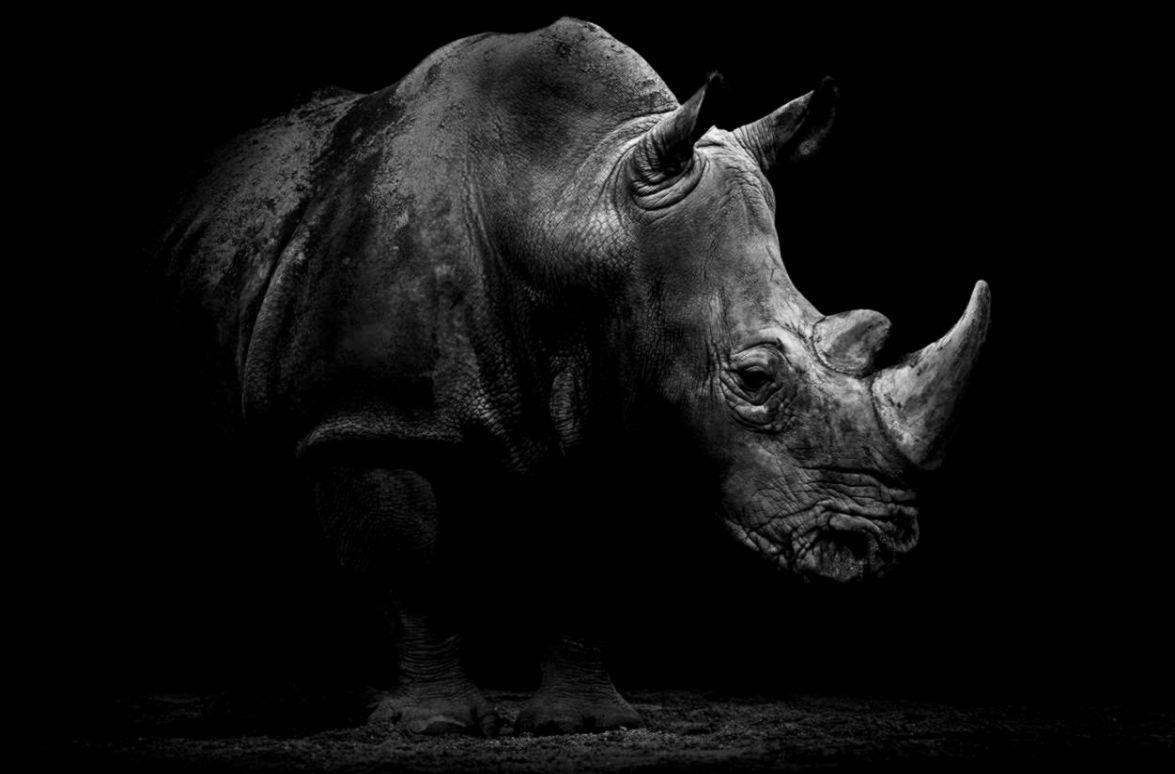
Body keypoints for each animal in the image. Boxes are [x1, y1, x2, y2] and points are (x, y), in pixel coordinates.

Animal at [156, 17, 989, 736]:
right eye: (754, 379)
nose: (875, 548)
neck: (568, 205)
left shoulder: (620, 406)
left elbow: (589, 566)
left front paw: (585, 722)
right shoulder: (365, 417)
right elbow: (407, 563)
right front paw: (432, 725)